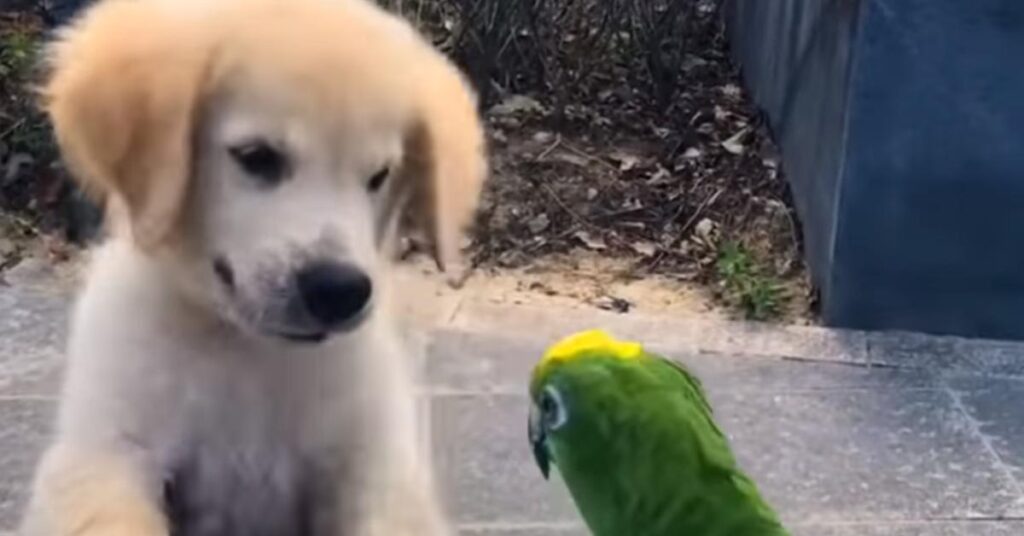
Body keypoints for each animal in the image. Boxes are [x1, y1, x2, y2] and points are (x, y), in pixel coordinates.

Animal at [18, 1, 485, 536]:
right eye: (257, 157)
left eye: (378, 176)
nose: (339, 291)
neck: (245, 351)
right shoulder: (106, 453)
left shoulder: (371, 465)